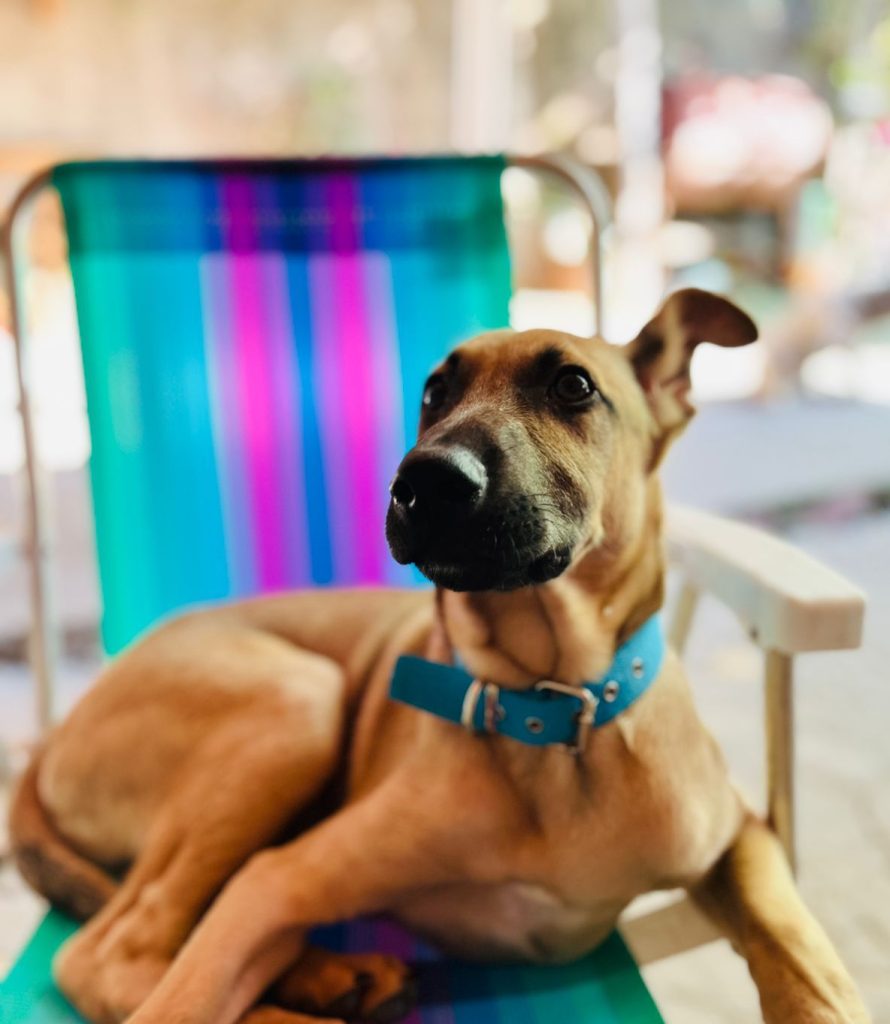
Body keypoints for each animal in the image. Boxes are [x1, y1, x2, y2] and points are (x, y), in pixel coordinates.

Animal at [10, 288, 869, 1024]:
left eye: (573, 387)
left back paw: (332, 974)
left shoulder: (741, 836)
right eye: (434, 392)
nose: (420, 483)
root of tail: (49, 740)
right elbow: (187, 988)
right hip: (296, 703)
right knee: (115, 954)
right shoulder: (277, 878)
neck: (550, 710)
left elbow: (800, 947)